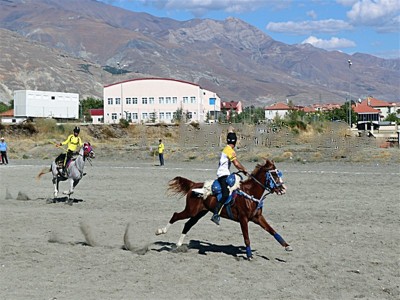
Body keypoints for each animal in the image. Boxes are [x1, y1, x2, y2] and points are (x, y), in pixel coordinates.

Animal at [155, 159, 290, 260]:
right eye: (274, 174)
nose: (283, 189)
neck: (250, 193)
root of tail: (193, 185)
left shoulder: (257, 217)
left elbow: (272, 230)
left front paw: (287, 246)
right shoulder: (243, 219)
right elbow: (246, 238)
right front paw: (249, 255)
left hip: (199, 212)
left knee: (188, 224)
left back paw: (178, 245)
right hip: (191, 210)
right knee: (175, 215)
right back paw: (160, 231)